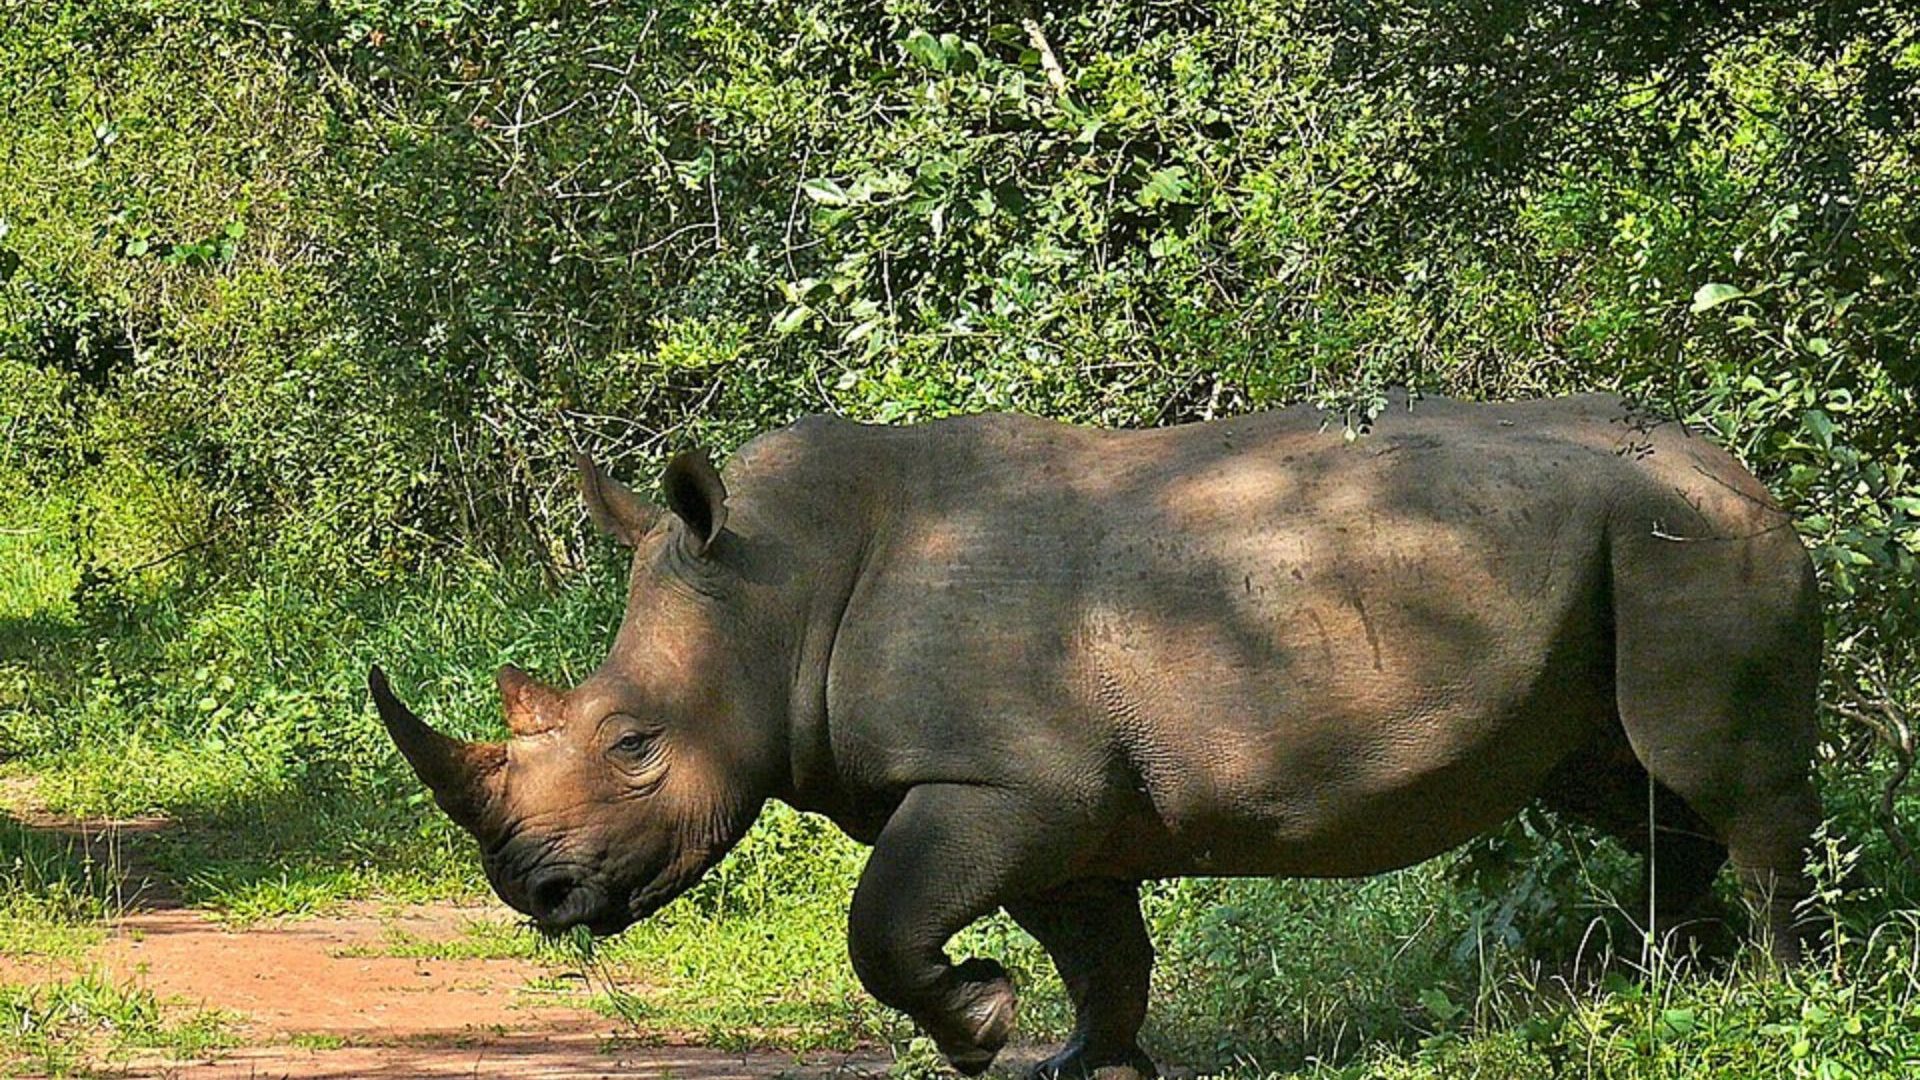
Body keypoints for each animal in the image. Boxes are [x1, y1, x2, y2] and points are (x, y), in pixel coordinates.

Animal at [371, 393, 1821, 1079]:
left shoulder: (1004, 783)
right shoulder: (1062, 808)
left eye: (633, 746)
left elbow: (882, 922)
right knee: (1625, 786)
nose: (536, 893)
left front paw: (977, 1025)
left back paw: (1767, 992)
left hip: (1692, 545)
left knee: (1719, 782)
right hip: (1633, 553)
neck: (775, 590)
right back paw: (1655, 977)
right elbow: (1099, 951)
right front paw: (1081, 1059)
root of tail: (1751, 471)